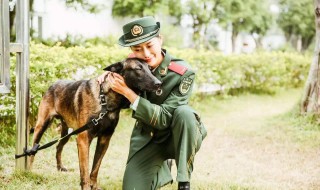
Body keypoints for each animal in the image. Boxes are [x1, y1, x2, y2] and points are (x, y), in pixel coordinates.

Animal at [29, 58, 160, 190]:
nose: (159, 83)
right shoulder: (83, 140)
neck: (105, 101)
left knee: (58, 146)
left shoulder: (104, 140)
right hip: (41, 126)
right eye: (138, 68)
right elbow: (85, 171)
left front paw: (95, 186)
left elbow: (95, 167)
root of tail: (53, 84)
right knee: (33, 150)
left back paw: (59, 167)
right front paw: (86, 186)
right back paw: (28, 171)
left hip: (67, 133)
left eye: (150, 68)